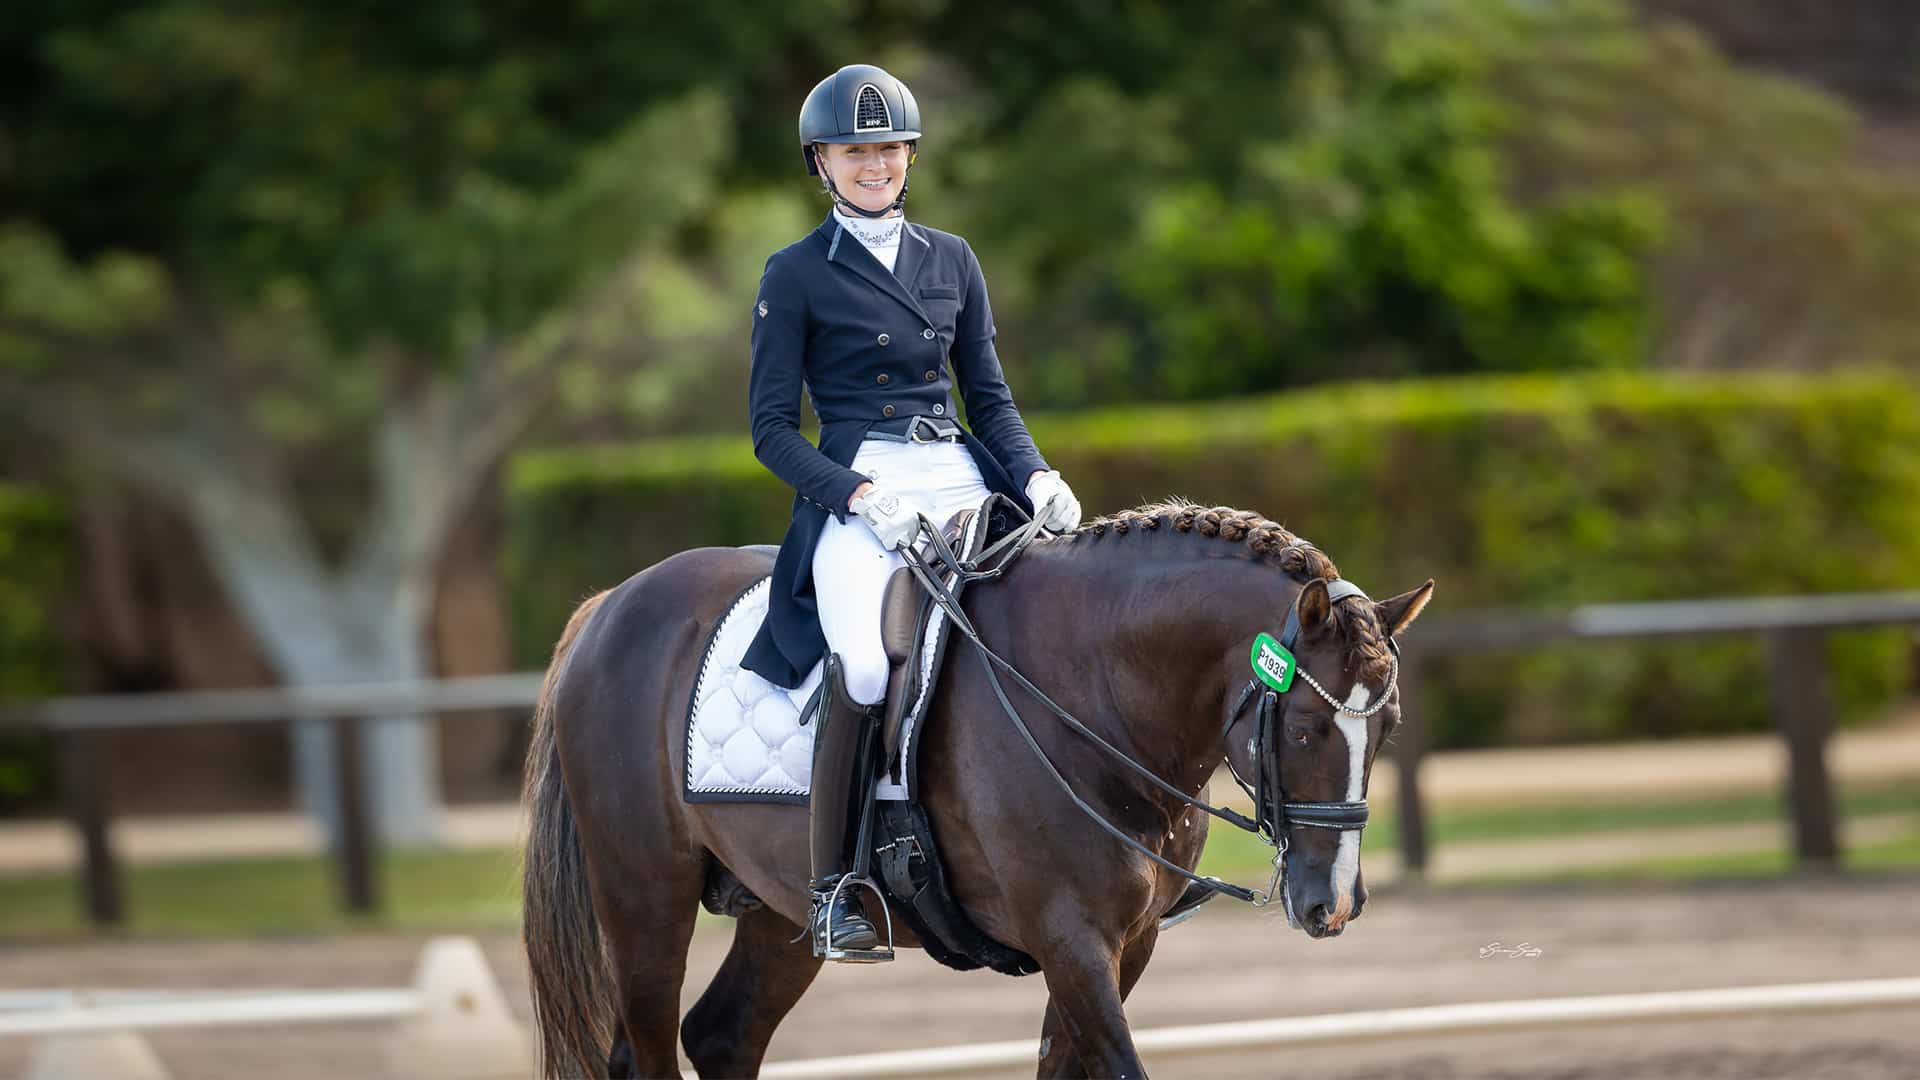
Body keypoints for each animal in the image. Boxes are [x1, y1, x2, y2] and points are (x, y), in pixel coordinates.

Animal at [521, 497, 1434, 1079]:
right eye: (1307, 728)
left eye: (1388, 728)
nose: (1332, 906)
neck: (1090, 690)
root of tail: (613, 604)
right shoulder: (1069, 938)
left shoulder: (1126, 944)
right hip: (644, 896)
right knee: (647, 1049)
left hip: (781, 911)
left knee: (723, 1037)